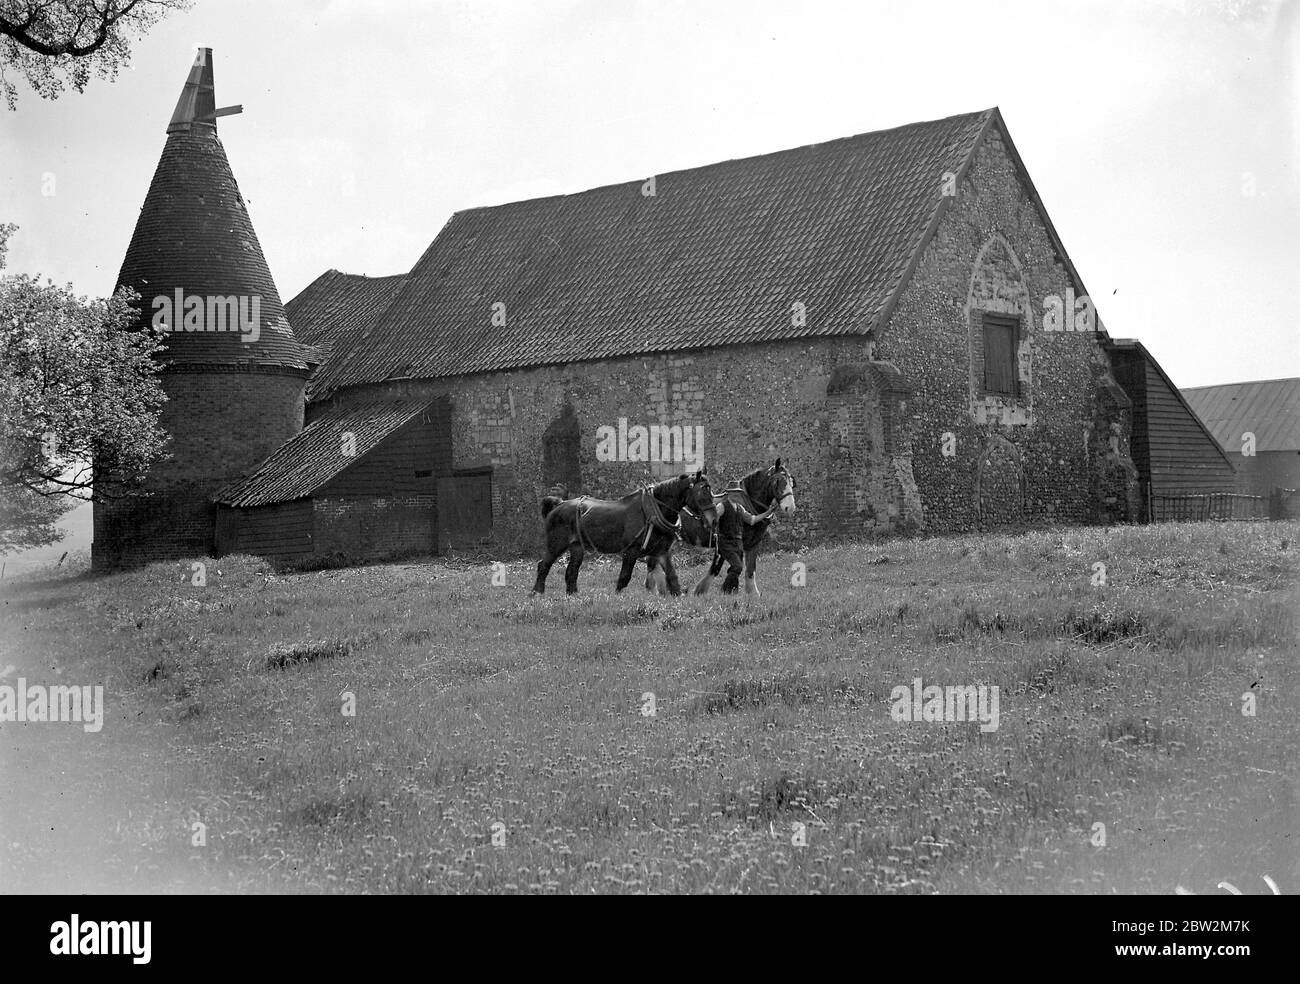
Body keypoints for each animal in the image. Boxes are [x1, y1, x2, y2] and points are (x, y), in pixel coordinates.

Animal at [530, 470, 717, 597]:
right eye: (702, 491)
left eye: (710, 490)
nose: (714, 519)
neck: (652, 511)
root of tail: (559, 504)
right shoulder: (631, 551)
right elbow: (624, 577)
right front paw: (617, 598)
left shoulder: (662, 552)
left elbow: (672, 577)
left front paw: (677, 596)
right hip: (556, 544)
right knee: (543, 565)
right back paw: (537, 592)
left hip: (577, 547)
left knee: (571, 571)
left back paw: (573, 595)